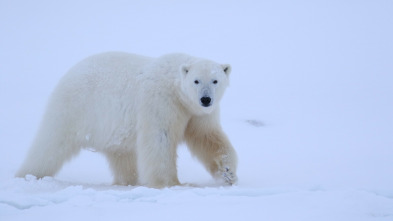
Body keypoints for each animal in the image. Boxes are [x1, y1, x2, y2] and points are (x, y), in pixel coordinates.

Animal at [15, 52, 237, 188]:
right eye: (196, 81)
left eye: (215, 80)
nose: (205, 99)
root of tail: (69, 73)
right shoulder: (161, 101)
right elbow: (160, 139)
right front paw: (171, 183)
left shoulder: (197, 113)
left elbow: (207, 137)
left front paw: (228, 172)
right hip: (75, 108)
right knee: (50, 145)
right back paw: (28, 175)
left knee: (122, 155)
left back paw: (128, 181)